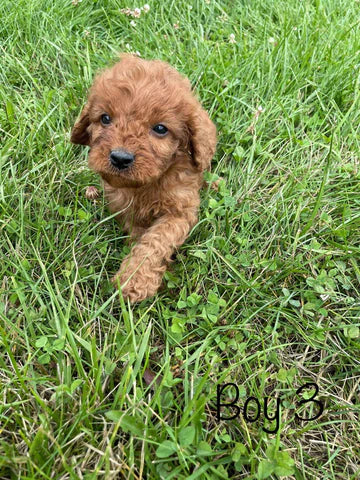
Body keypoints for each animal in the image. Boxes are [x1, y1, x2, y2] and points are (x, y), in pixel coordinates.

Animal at [70, 55, 217, 304]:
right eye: (105, 118)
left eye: (160, 128)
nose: (120, 158)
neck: (146, 185)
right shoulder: (126, 209)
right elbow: (140, 236)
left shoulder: (180, 210)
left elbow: (156, 240)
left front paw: (135, 281)